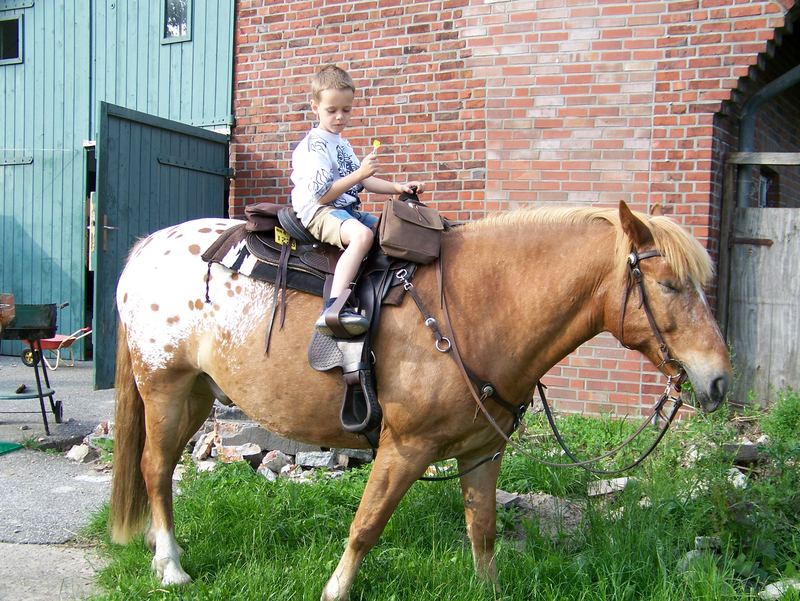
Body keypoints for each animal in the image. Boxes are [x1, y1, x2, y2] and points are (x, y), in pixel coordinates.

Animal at [108, 202, 732, 600]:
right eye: (670, 285)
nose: (720, 382)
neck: (478, 308)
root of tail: (146, 248)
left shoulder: (482, 452)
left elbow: (483, 531)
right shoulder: (405, 447)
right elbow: (366, 525)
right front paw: (335, 589)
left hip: (195, 394)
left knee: (158, 469)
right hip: (163, 386)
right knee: (155, 467)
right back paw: (171, 568)